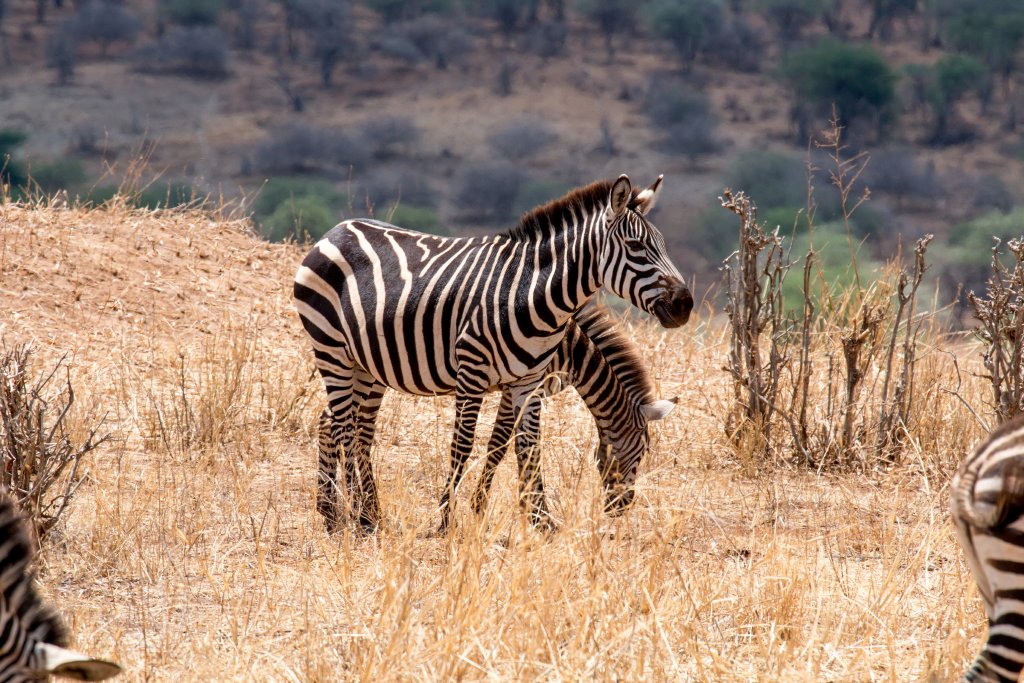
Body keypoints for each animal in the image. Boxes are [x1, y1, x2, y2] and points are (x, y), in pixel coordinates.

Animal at [469, 302, 676, 521]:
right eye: (644, 451)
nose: (622, 507)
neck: (573, 356)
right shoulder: (518, 388)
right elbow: (500, 444)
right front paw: (480, 505)